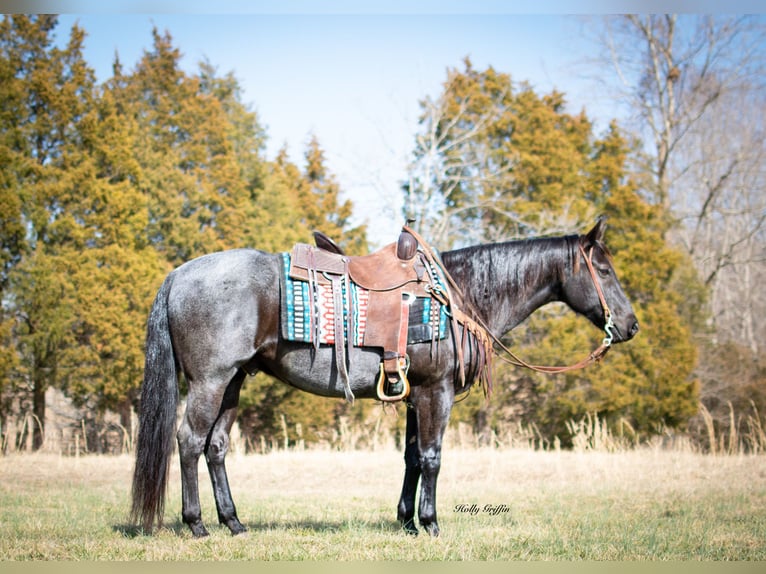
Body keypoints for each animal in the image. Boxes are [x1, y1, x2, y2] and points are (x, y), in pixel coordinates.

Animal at [130, 216, 640, 540]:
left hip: (233, 382)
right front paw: (431, 523)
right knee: (190, 441)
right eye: (605, 269)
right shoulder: (436, 392)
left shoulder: (416, 396)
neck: (458, 294)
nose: (631, 326)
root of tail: (179, 273)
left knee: (215, 447)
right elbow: (433, 458)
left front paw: (407, 521)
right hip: (210, 381)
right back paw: (196, 523)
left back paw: (233, 523)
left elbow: (412, 458)